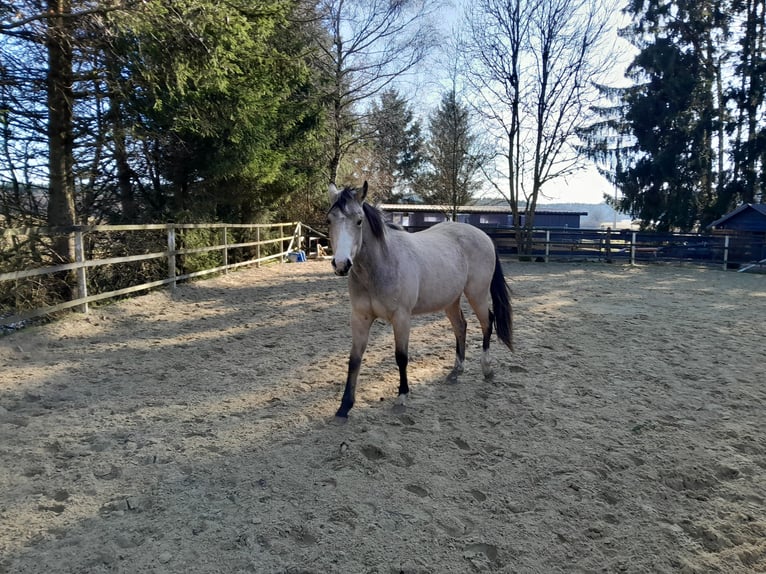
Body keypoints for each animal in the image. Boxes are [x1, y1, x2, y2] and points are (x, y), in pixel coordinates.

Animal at [327, 181, 513, 419]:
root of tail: (484, 236)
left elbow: (401, 356)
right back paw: (456, 371)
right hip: (450, 300)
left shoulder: (401, 318)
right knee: (461, 326)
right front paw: (345, 406)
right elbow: (354, 359)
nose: (341, 264)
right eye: (329, 220)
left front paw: (402, 396)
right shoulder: (360, 318)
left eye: (359, 221)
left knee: (487, 322)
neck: (381, 264)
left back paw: (487, 369)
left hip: (477, 295)